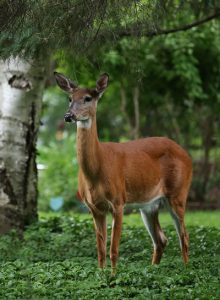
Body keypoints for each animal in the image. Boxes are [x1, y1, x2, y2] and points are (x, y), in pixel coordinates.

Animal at [54, 71, 192, 274]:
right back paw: (153, 271)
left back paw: (185, 271)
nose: (68, 116)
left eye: (88, 98)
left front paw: (113, 277)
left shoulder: (118, 202)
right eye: (70, 98)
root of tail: (187, 154)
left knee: (184, 237)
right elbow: (100, 249)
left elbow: (113, 249)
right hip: (149, 205)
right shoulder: (94, 207)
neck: (96, 171)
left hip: (178, 193)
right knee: (161, 240)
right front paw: (101, 274)